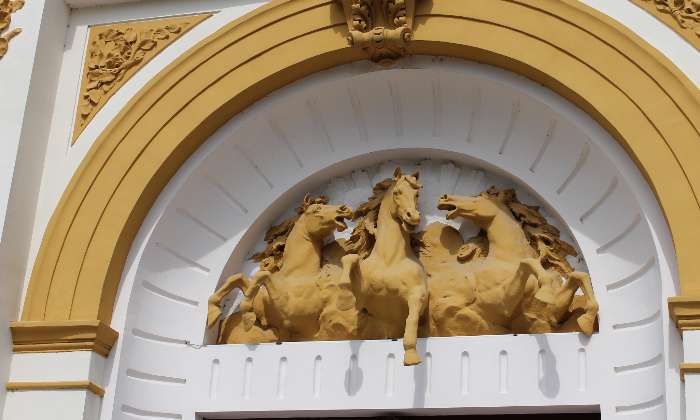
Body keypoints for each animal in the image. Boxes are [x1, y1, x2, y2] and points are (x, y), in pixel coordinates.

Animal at [340, 167, 426, 364]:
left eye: (417, 194)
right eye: (397, 192)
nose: (413, 217)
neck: (390, 260)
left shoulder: (418, 294)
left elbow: (411, 320)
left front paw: (411, 355)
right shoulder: (363, 298)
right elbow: (350, 258)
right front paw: (343, 298)